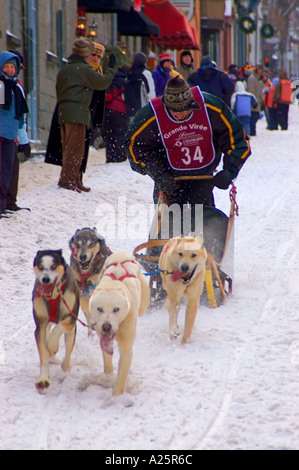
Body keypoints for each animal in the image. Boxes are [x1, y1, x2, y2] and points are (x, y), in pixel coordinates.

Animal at [32, 252, 80, 392]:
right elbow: (43, 354)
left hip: (71, 331)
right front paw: (43, 379)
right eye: (40, 266)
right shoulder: (40, 326)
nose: (45, 279)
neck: (53, 296)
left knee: (68, 348)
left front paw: (52, 346)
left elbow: (59, 328)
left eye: (54, 266)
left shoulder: (71, 318)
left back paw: (65, 366)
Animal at [88, 252, 150, 394]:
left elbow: (122, 376)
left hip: (143, 303)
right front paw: (108, 377)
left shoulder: (126, 347)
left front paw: (115, 396)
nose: (106, 327)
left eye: (116, 309)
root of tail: (121, 254)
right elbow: (107, 360)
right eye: (99, 309)